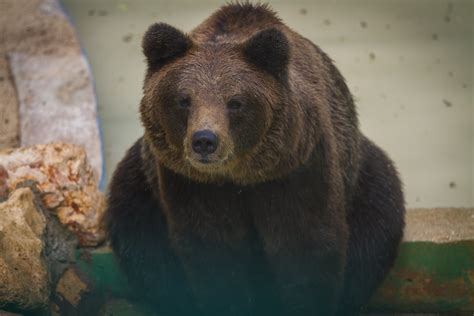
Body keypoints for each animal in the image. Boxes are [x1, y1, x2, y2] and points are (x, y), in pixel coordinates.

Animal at [105, 3, 406, 316]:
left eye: (235, 102)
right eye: (183, 99)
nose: (204, 141)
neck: (240, 175)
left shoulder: (296, 170)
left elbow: (307, 248)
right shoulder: (191, 183)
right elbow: (214, 252)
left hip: (362, 174)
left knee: (375, 228)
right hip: (141, 184)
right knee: (143, 244)